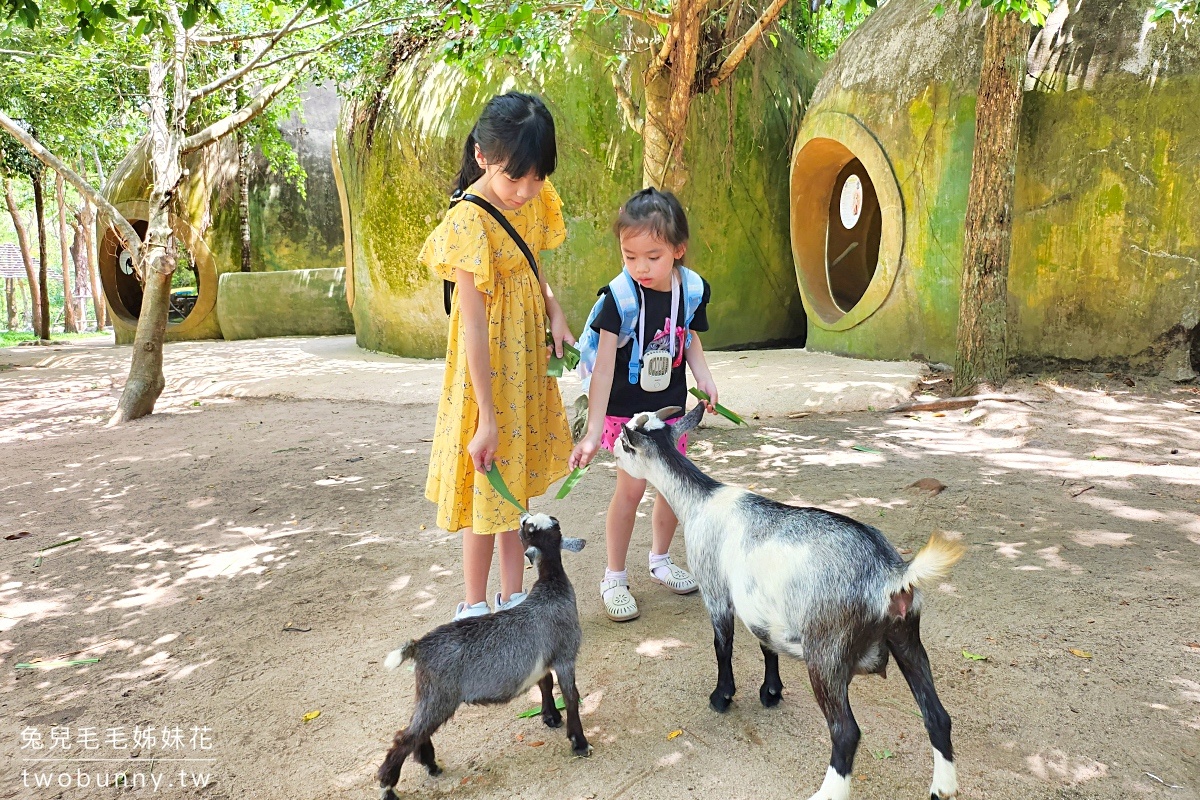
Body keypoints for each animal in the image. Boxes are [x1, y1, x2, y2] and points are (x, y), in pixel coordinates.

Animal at [376, 515, 588, 796]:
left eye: (549, 523)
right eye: (529, 528)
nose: (522, 517)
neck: (551, 585)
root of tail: (419, 646)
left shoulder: (542, 660)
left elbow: (545, 683)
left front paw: (550, 717)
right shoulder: (566, 655)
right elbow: (571, 696)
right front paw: (579, 742)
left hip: (428, 694)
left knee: (415, 729)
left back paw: (430, 764)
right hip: (441, 696)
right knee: (405, 736)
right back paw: (388, 786)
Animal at [619, 407, 964, 800]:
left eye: (624, 443)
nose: (611, 449)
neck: (699, 500)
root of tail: (890, 573)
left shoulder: (715, 590)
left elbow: (723, 645)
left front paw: (722, 697)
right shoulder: (762, 606)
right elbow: (766, 644)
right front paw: (771, 691)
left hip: (826, 652)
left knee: (846, 731)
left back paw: (828, 792)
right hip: (907, 636)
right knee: (937, 715)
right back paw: (942, 788)